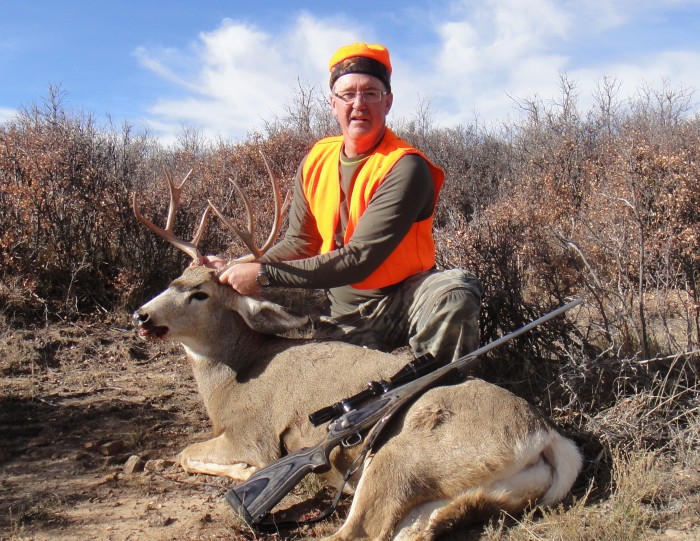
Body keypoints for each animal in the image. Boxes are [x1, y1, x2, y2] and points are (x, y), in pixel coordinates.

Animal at [130, 165, 580, 540]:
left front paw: (243, 472)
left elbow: (187, 453)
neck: (233, 376)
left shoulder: (253, 434)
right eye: (174, 279)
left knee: (357, 531)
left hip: (398, 458)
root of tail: (546, 433)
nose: (142, 315)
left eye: (200, 293)